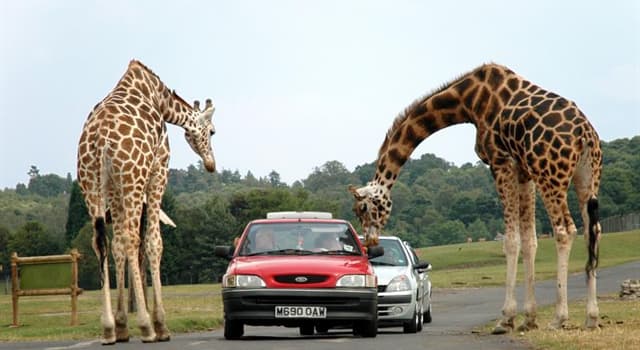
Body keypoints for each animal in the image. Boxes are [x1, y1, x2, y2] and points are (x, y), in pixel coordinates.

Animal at [76, 60, 218, 344]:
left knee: (101, 242)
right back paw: (147, 327)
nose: (211, 164)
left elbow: (117, 246)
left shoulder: (113, 188)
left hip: (91, 184)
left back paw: (108, 329)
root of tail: (99, 140)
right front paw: (161, 324)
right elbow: (154, 242)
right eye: (212, 131)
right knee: (133, 239)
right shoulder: (158, 168)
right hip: (134, 178)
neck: (160, 99)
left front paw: (121, 325)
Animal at [348, 63, 604, 334]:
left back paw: (559, 317)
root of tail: (585, 135)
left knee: (565, 230)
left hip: (550, 175)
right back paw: (591, 317)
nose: (371, 243)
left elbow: (511, 241)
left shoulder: (500, 161)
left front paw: (506, 318)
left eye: (362, 208)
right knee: (592, 230)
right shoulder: (523, 170)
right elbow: (529, 240)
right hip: (586, 177)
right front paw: (529, 318)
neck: (467, 102)